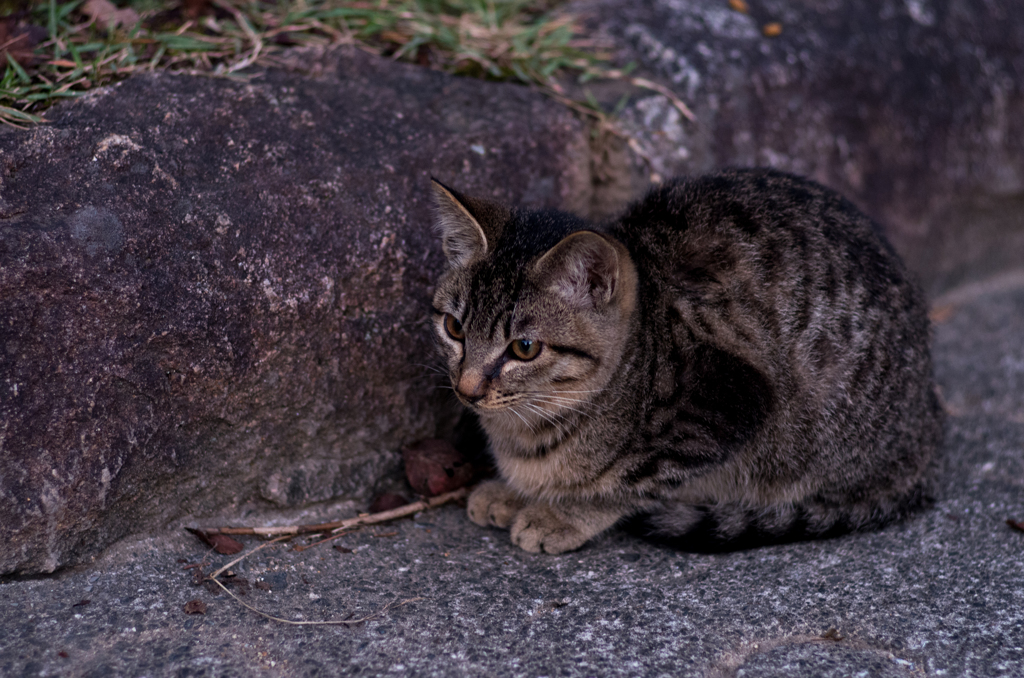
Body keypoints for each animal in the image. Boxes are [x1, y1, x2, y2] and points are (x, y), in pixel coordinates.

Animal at [428, 166, 937, 557]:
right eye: (454, 328)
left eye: (524, 348)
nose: (467, 388)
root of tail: (927, 432)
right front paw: (513, 492)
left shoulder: (724, 404)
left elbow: (629, 482)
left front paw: (563, 514)